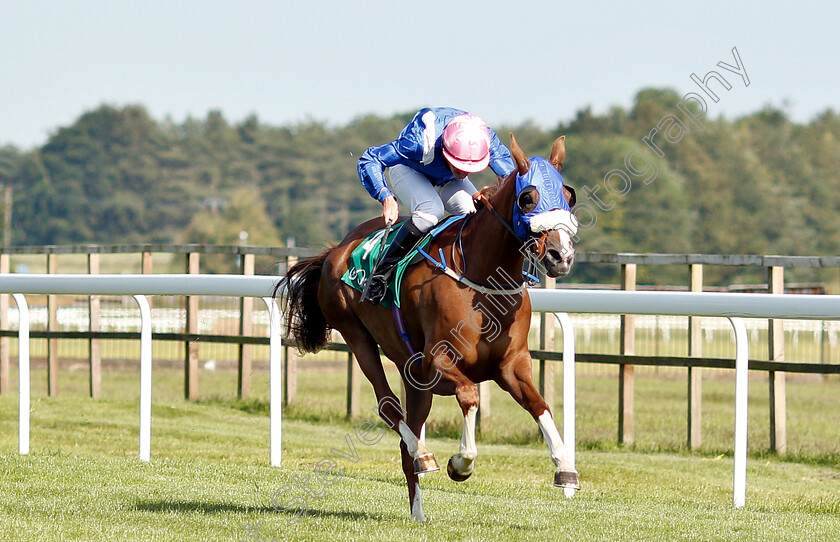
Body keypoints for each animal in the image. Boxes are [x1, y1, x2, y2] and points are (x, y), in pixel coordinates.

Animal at [278, 133, 580, 524]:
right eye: (527, 197)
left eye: (569, 195)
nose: (562, 256)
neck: (483, 280)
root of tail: (336, 249)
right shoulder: (438, 361)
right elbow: (470, 396)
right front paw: (461, 463)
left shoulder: (512, 365)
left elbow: (540, 405)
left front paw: (566, 469)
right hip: (357, 336)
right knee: (389, 407)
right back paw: (424, 455)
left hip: (414, 377)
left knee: (406, 438)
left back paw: (418, 511)